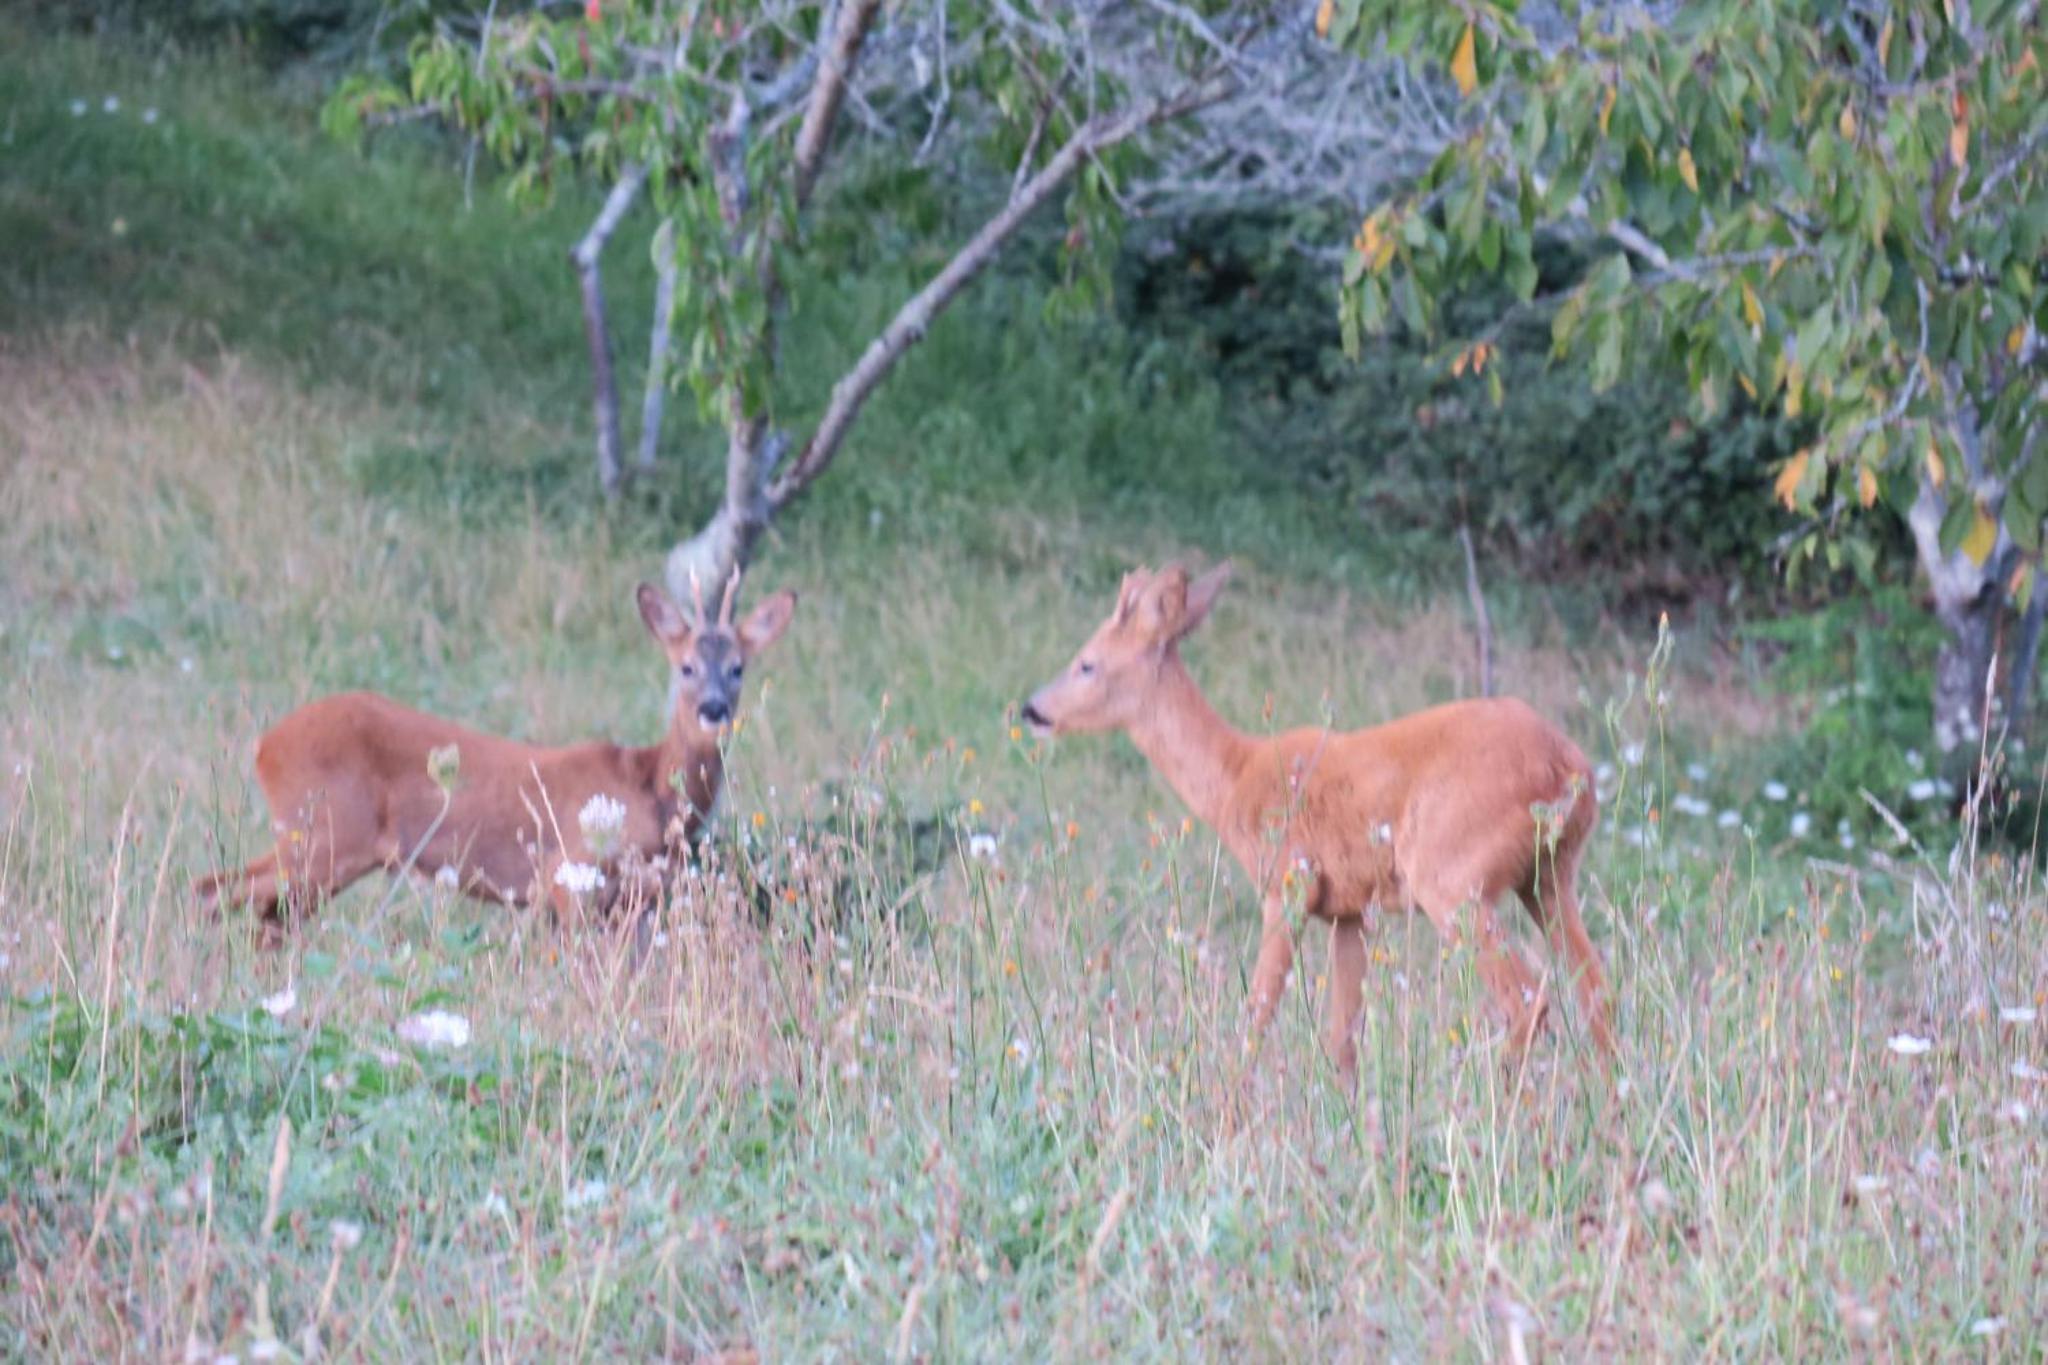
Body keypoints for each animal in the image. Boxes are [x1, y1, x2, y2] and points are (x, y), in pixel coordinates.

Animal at [195, 577, 794, 941]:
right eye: (686, 666)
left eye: (738, 667)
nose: (715, 709)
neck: (649, 789)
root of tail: (265, 745)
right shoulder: (568, 876)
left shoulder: (638, 903)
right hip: (322, 835)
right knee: (217, 890)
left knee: (257, 912)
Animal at [1024, 564, 1613, 1080]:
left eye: (1086, 663)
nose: (1032, 709)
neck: (1233, 777)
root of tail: (1569, 767)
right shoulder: (1347, 910)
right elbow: (1343, 1038)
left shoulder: (1290, 881)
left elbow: (1257, 1015)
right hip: (1549, 875)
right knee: (1597, 990)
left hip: (1452, 876)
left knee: (1529, 1001)